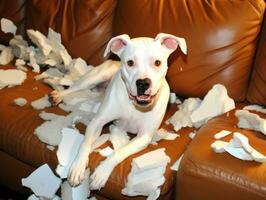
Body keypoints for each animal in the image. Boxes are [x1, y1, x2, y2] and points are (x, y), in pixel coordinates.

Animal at [51, 32, 186, 189]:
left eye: (157, 63)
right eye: (130, 62)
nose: (143, 83)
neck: (134, 105)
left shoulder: (144, 136)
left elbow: (120, 151)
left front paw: (101, 172)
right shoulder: (97, 122)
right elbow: (84, 144)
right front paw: (77, 168)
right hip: (95, 77)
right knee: (74, 87)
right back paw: (59, 95)